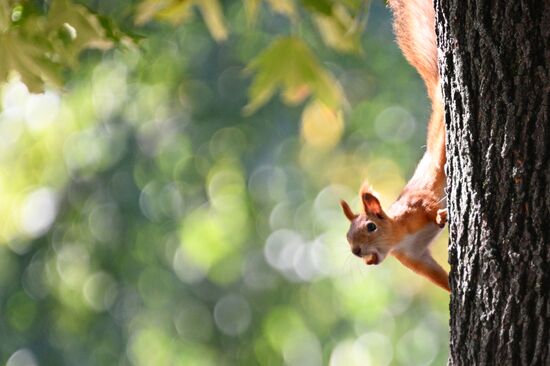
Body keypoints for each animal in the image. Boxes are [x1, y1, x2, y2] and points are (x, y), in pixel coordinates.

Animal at [340, 0, 452, 292]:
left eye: (371, 227)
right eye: (347, 237)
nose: (356, 252)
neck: (399, 235)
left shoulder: (418, 204)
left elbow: (430, 205)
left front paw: (440, 217)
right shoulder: (414, 256)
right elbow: (436, 275)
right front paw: (453, 291)